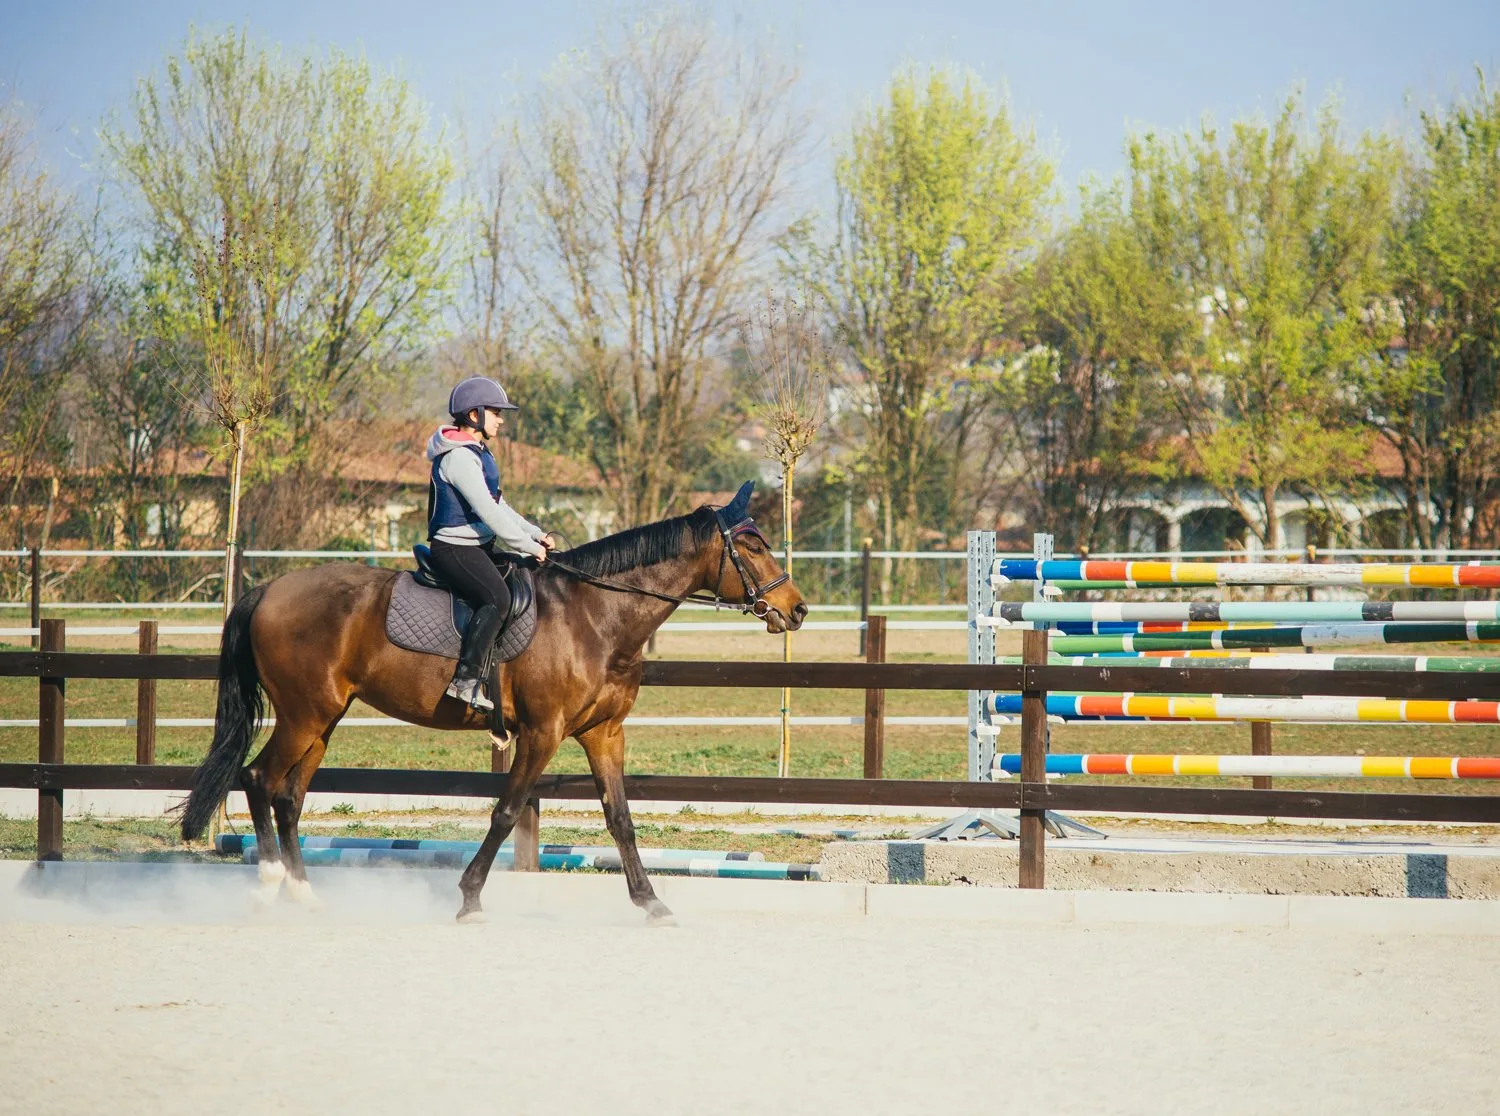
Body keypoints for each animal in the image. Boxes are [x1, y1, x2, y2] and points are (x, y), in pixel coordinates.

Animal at [180, 486, 804, 924]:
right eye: (751, 544)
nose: (796, 610)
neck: (595, 615)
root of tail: (268, 590)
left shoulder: (604, 733)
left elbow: (621, 819)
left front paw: (651, 904)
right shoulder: (542, 733)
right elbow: (506, 812)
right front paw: (469, 897)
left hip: (322, 719)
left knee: (288, 796)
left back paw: (304, 895)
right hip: (304, 714)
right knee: (260, 779)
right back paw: (268, 887)